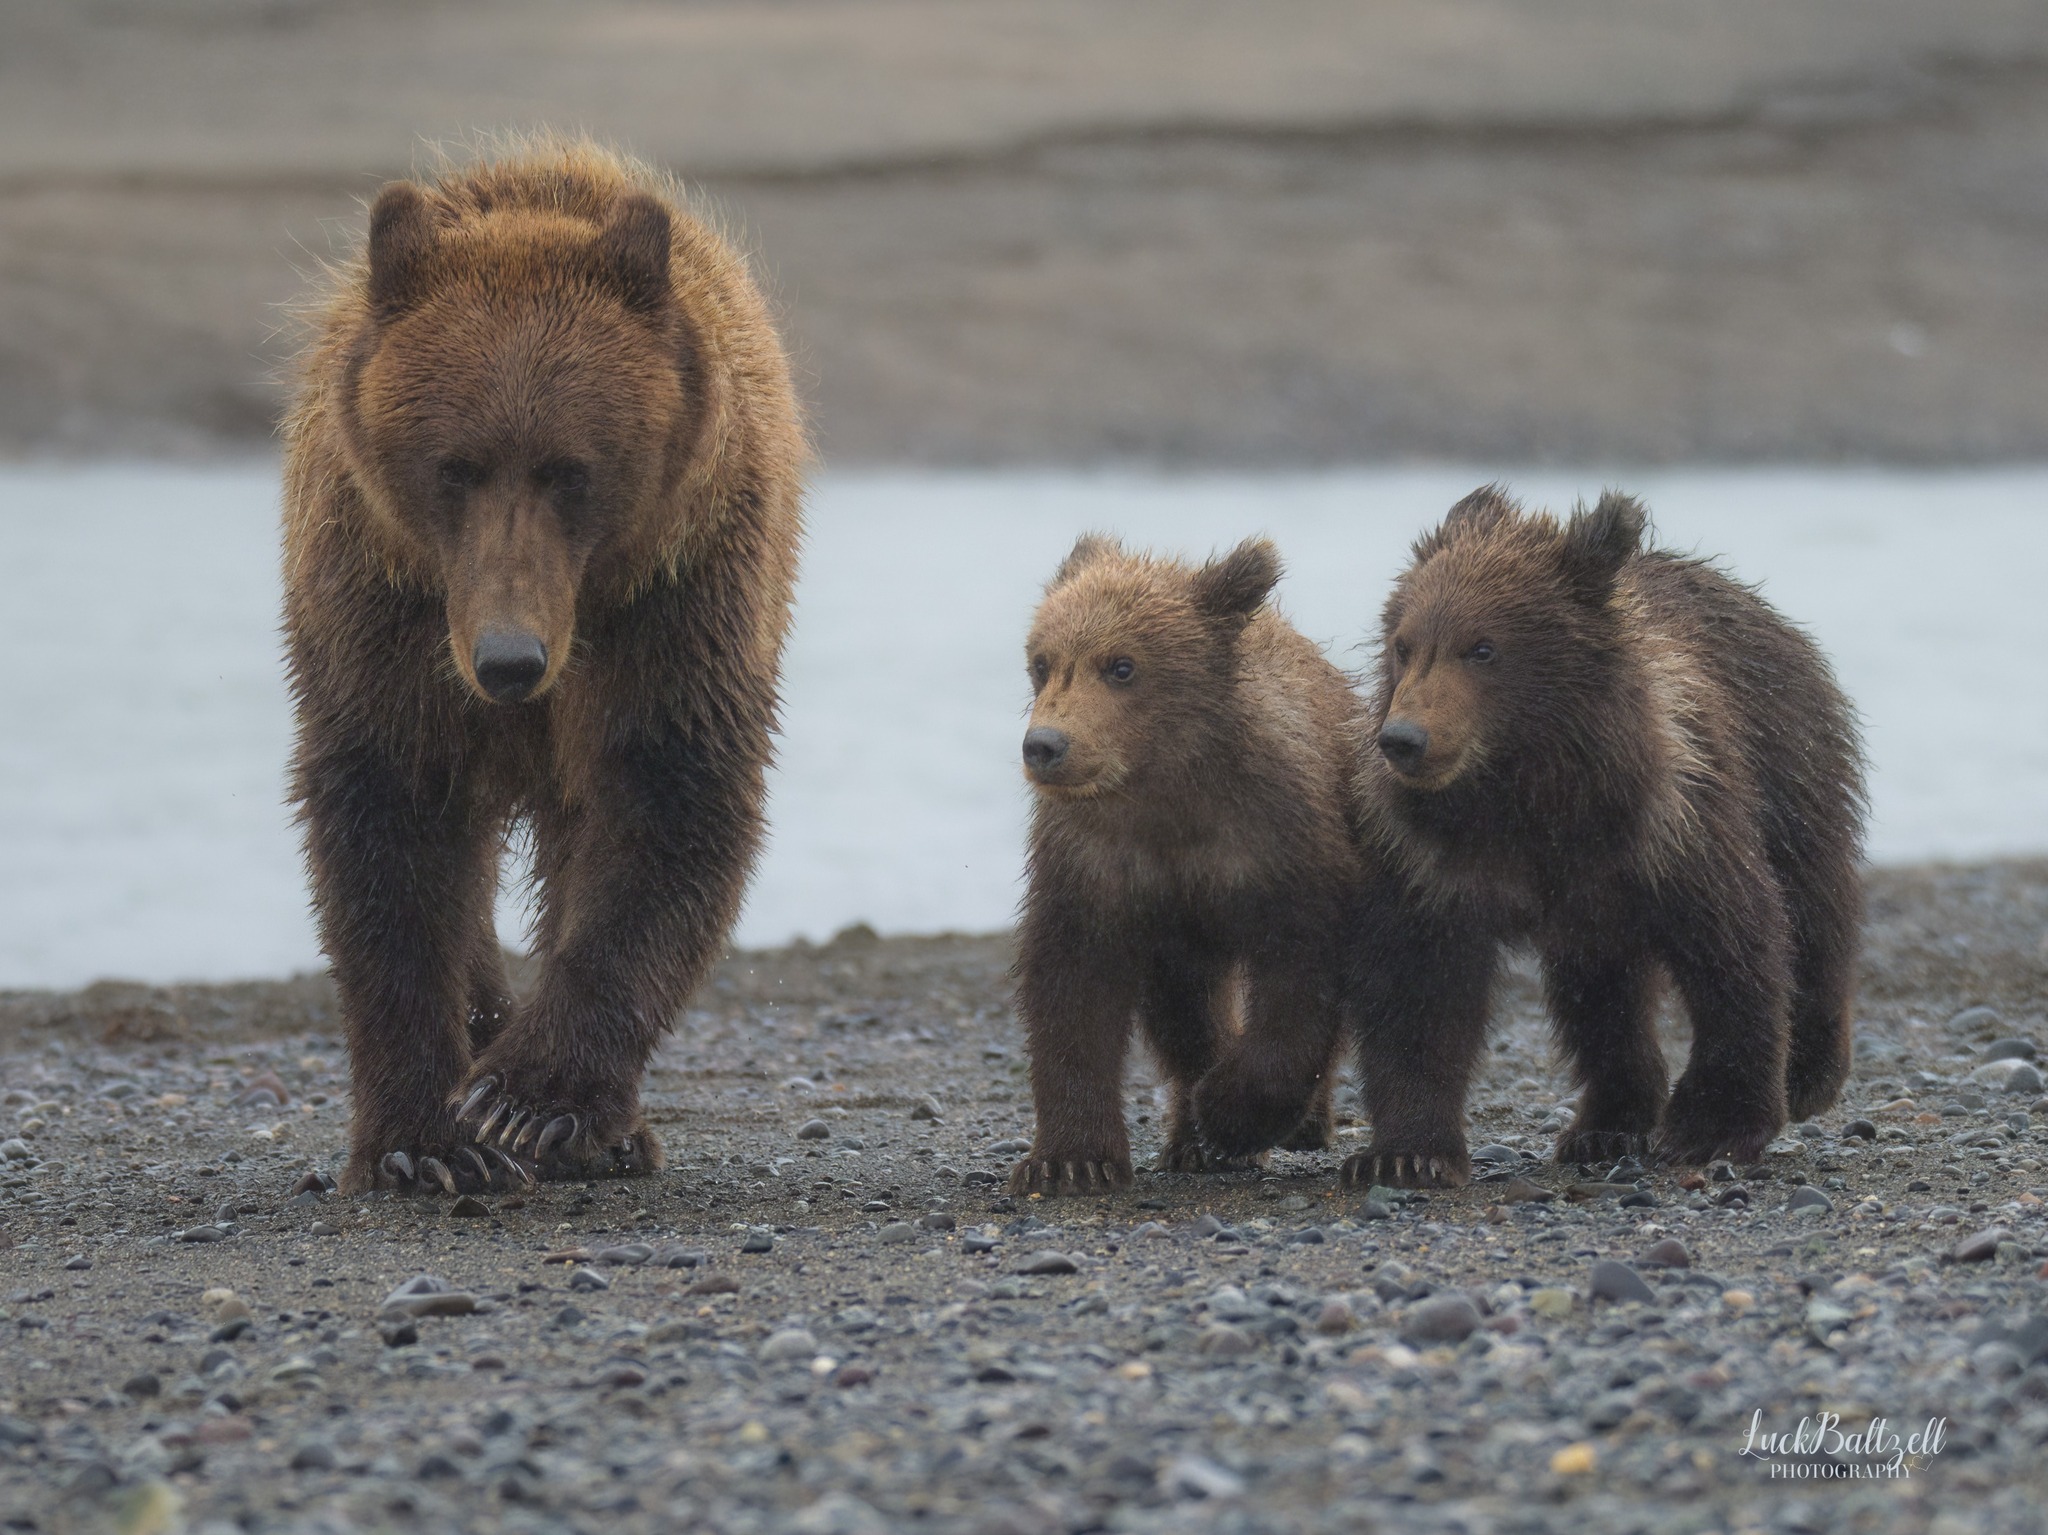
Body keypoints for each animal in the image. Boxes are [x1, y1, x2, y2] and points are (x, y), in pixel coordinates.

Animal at [281, 137, 805, 1195]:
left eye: (571, 469)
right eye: (454, 466)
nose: (509, 661)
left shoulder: (674, 603)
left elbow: (665, 804)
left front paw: (531, 1100)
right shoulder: (382, 609)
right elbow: (386, 823)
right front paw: (423, 1139)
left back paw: (611, 1130)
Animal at [1008, 535, 1361, 1196]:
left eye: (1122, 665)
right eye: (1042, 662)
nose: (1045, 745)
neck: (1169, 791)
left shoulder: (1279, 843)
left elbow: (1301, 972)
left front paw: (1233, 1113)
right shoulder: (1096, 861)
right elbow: (1072, 988)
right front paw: (1071, 1159)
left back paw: (1299, 1123)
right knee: (1185, 1009)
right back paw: (1190, 1139)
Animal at [1332, 486, 1865, 1188]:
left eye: (1483, 648)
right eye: (1405, 644)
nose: (1403, 739)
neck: (1530, 798)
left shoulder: (1673, 825)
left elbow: (1733, 948)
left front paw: (1712, 1128)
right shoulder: (1431, 861)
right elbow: (1419, 987)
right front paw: (1404, 1154)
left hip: (1790, 766)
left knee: (1812, 907)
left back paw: (1810, 1073)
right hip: (1597, 916)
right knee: (1601, 996)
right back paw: (1603, 1127)